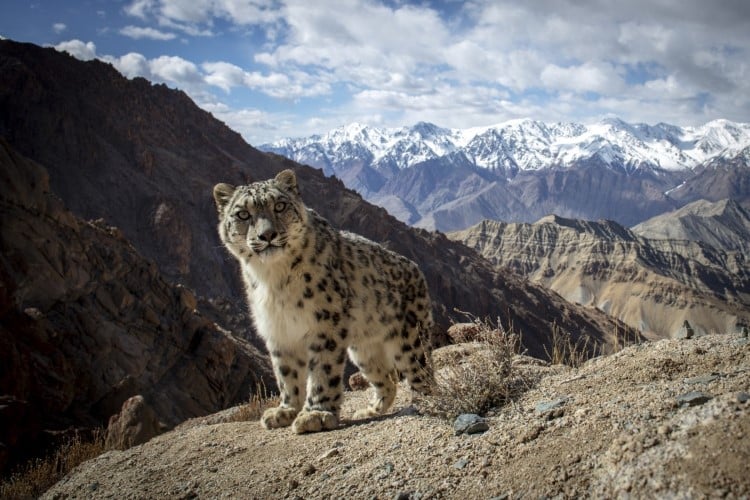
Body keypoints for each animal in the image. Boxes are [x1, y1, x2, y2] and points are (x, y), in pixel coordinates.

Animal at [212, 169, 434, 434]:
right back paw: (370, 410)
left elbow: (322, 370)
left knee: (422, 372)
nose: (267, 235)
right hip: (364, 351)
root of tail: (416, 269)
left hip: (410, 340)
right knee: (387, 379)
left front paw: (315, 414)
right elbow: (286, 374)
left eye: (279, 205)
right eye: (243, 214)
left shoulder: (325, 323)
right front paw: (285, 410)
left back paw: (426, 402)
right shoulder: (277, 330)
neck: (272, 278)